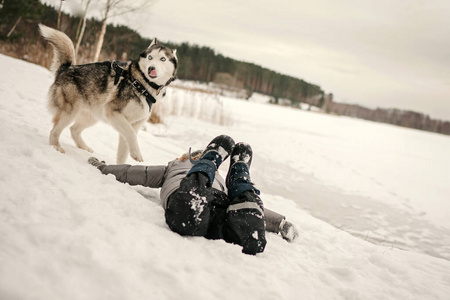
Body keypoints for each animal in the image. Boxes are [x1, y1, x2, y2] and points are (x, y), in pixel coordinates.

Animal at [38, 24, 178, 163]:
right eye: (150, 57)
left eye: (163, 59)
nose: (151, 68)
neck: (141, 84)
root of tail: (66, 68)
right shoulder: (114, 113)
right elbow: (131, 135)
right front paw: (137, 154)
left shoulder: (133, 124)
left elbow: (124, 150)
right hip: (70, 111)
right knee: (54, 131)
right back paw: (56, 147)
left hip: (92, 116)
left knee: (73, 130)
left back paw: (84, 147)